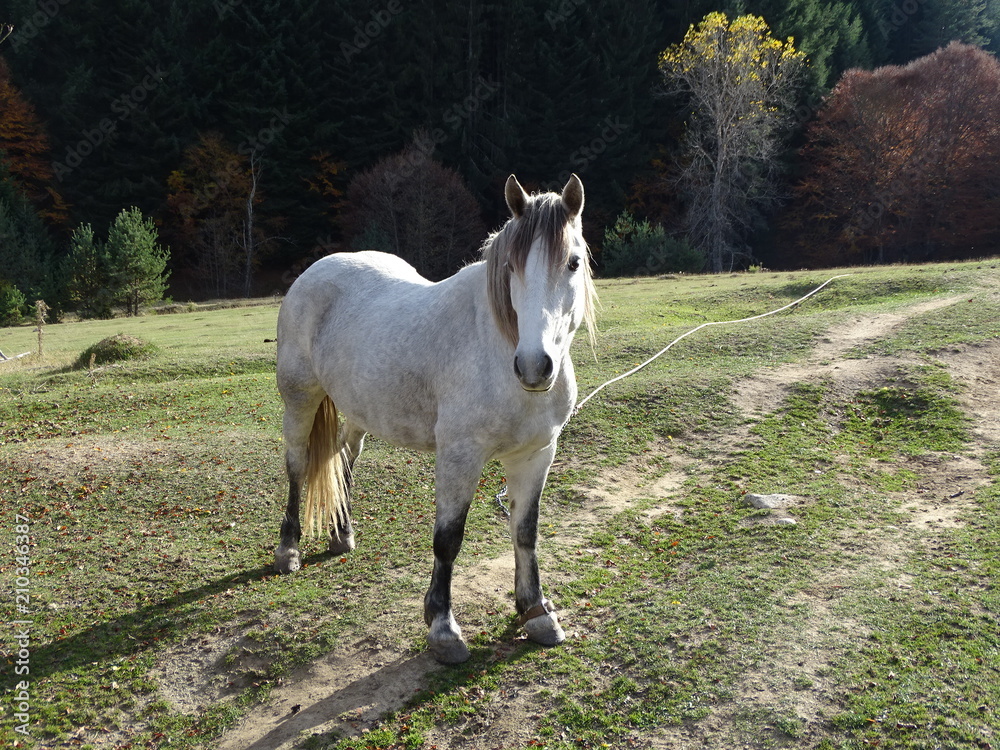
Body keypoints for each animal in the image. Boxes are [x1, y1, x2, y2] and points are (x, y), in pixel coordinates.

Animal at [272, 174, 597, 664]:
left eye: (573, 262)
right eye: (512, 267)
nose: (534, 367)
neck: (497, 348)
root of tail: (313, 274)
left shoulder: (536, 454)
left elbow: (526, 532)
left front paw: (536, 612)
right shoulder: (460, 456)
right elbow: (448, 538)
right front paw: (443, 628)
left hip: (360, 410)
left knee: (344, 458)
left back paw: (341, 535)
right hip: (300, 400)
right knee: (297, 465)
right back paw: (288, 550)